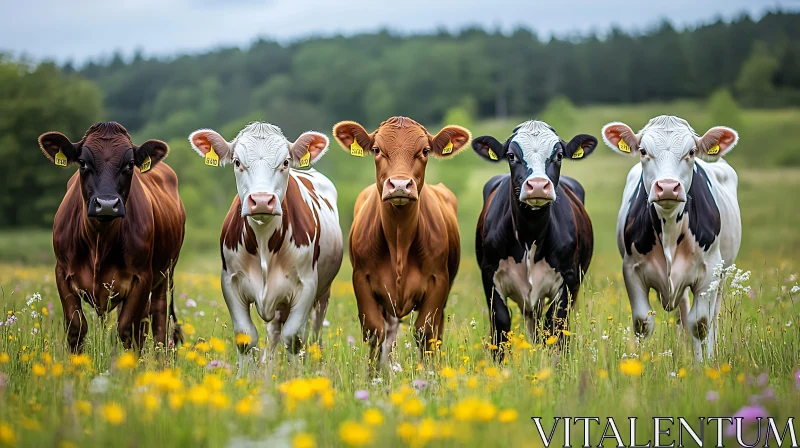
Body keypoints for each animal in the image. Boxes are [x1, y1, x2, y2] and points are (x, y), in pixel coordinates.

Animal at [39, 123, 188, 354]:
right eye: (82, 162)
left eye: (130, 164)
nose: (107, 204)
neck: (99, 240)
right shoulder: (62, 272)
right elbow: (76, 327)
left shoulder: (142, 277)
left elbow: (126, 330)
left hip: (165, 273)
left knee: (158, 317)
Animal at [192, 122, 346, 372]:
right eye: (237, 162)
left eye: (285, 162)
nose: (262, 200)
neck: (264, 241)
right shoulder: (230, 282)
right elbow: (245, 337)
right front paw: (245, 376)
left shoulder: (307, 285)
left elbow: (293, 337)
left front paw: (296, 376)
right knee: (274, 331)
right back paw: (268, 366)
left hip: (323, 293)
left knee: (312, 331)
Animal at [332, 116, 468, 364]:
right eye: (377, 149)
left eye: (424, 150)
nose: (399, 185)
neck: (399, 242)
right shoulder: (362, 280)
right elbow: (375, 331)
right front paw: (374, 373)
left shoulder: (439, 282)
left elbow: (426, 332)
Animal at [472, 120, 596, 356]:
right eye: (511, 155)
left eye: (559, 155)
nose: (538, 185)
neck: (530, 236)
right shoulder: (488, 275)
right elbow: (501, 324)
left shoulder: (568, 278)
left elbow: (556, 326)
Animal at [600, 115, 744, 360]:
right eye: (643, 151)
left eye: (692, 152)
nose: (667, 187)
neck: (669, 229)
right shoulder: (631, 269)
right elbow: (643, 323)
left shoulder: (709, 271)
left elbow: (701, 323)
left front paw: (702, 365)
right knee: (682, 313)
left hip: (722, 275)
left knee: (712, 317)